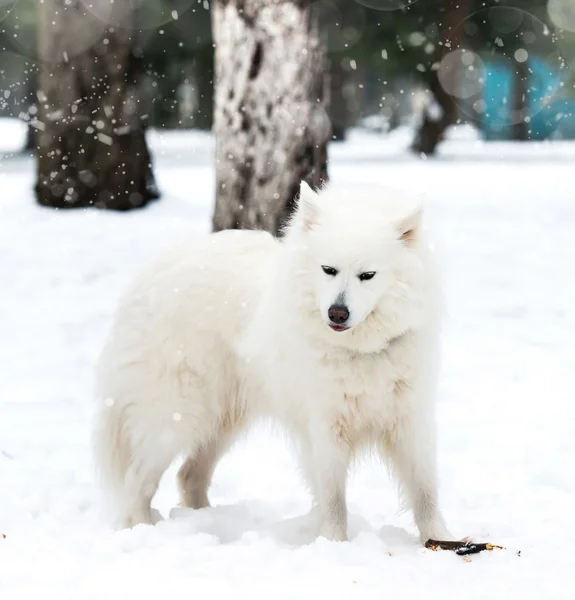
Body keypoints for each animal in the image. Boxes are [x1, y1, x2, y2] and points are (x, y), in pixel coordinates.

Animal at [93, 182, 454, 544]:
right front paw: (334, 543)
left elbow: (425, 492)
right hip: (175, 418)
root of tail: (146, 277)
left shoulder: (411, 424)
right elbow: (334, 499)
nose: (337, 313)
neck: (359, 351)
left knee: (188, 474)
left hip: (220, 421)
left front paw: (439, 540)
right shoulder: (324, 429)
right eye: (328, 270)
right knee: (137, 482)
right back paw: (141, 529)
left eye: (367, 275)